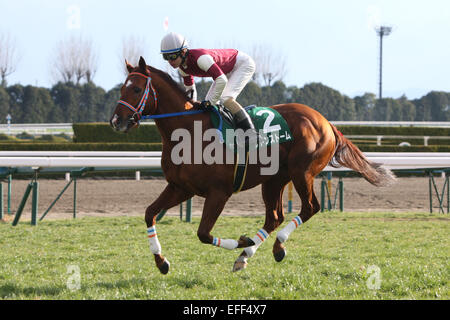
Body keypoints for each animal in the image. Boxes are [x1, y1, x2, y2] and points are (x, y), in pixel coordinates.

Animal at [110, 56, 396, 274]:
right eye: (122, 89)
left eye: (136, 89)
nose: (116, 121)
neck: (188, 132)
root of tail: (326, 122)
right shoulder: (181, 188)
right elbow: (149, 213)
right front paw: (161, 261)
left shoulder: (219, 192)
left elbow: (203, 233)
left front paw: (241, 240)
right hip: (273, 180)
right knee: (275, 216)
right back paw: (246, 255)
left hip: (302, 172)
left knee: (310, 207)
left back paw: (275, 246)